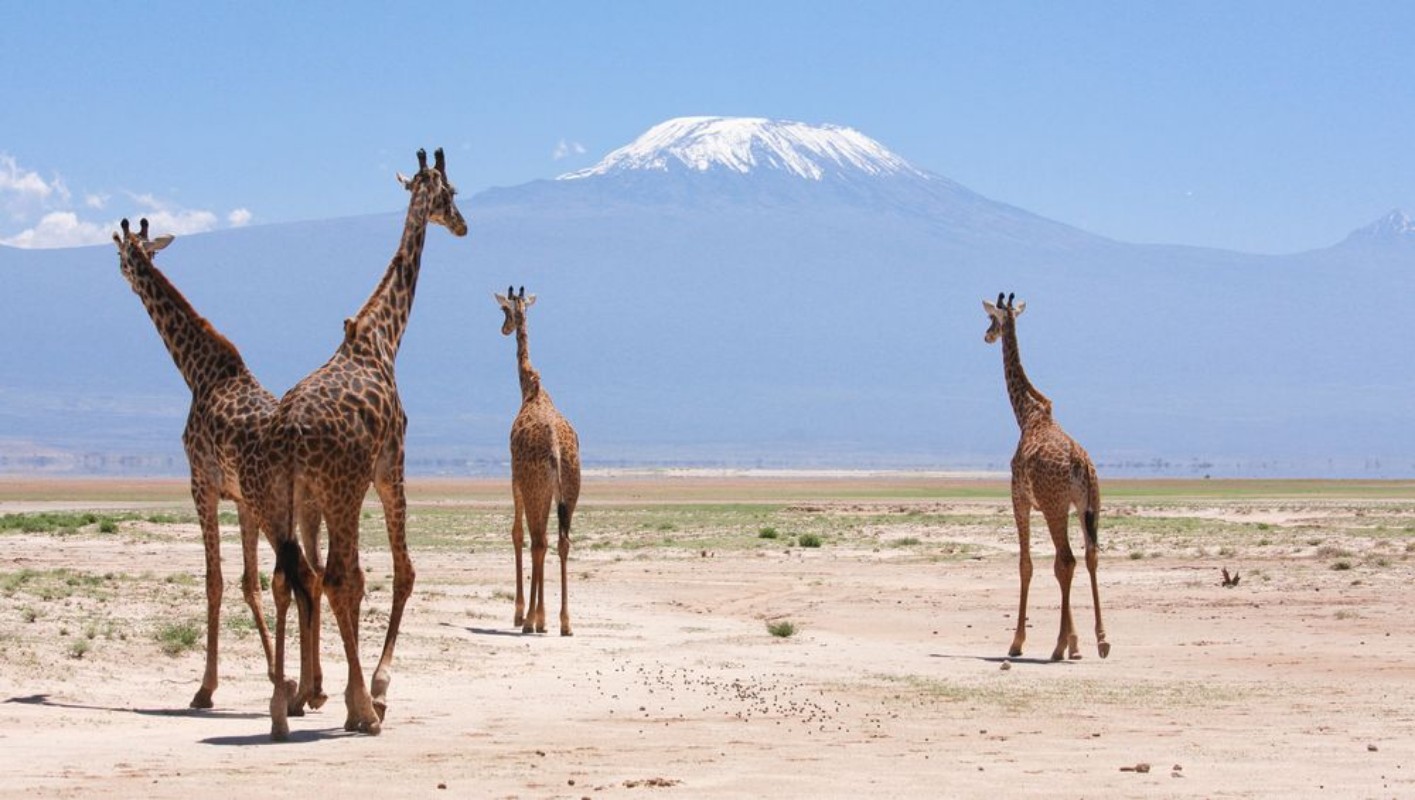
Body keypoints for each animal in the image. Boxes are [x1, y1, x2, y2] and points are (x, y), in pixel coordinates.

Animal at [112, 218, 322, 712]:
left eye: (124, 255)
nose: (124, 276)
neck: (199, 372)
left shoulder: (201, 484)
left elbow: (216, 581)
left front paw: (205, 689)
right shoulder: (242, 501)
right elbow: (250, 583)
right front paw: (277, 676)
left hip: (274, 508)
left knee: (304, 576)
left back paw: (310, 692)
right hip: (296, 509)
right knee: (313, 576)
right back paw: (314, 690)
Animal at [245, 148, 467, 740]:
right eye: (452, 192)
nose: (463, 225)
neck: (384, 337)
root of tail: (290, 433)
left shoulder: (311, 500)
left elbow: (317, 577)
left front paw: (319, 693)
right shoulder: (390, 467)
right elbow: (398, 572)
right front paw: (373, 693)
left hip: (279, 497)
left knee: (290, 576)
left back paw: (280, 709)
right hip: (345, 490)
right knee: (344, 576)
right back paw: (365, 708)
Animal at [983, 292, 1109, 661]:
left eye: (993, 319)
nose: (987, 335)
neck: (1027, 415)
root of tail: (1081, 463)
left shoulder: (1020, 499)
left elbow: (1026, 564)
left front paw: (1018, 642)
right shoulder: (1067, 506)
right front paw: (1076, 643)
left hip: (1055, 507)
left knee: (1066, 560)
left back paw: (1056, 647)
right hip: (1089, 506)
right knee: (1089, 556)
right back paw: (1101, 640)